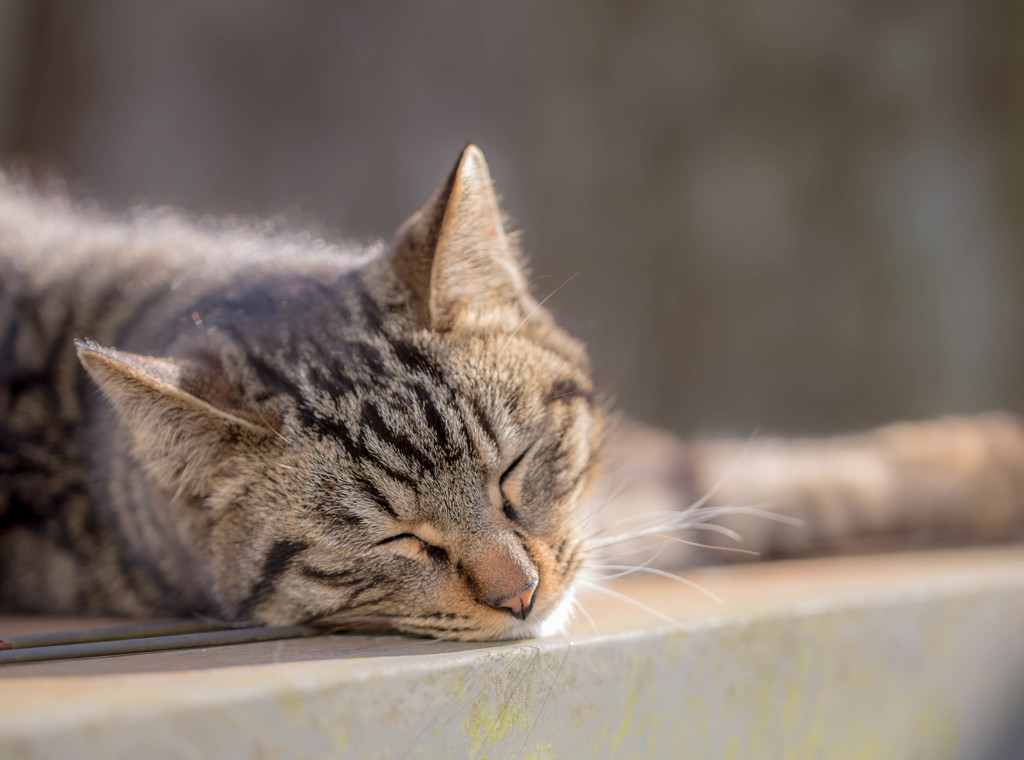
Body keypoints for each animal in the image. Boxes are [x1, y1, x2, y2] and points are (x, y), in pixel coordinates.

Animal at [2, 144, 1024, 643]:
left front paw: (992, 463)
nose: (523, 595)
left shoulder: (616, 502)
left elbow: (776, 476)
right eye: (396, 540)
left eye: (516, 469)